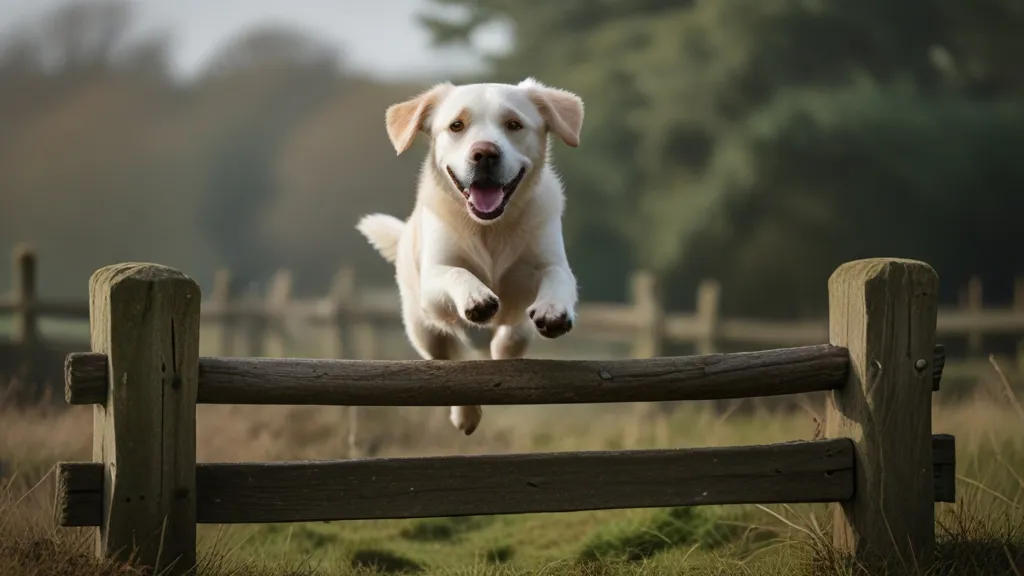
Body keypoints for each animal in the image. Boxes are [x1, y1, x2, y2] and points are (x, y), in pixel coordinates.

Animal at [356, 78, 585, 432]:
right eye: (456, 125)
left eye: (514, 124)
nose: (485, 153)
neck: (489, 229)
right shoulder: (434, 280)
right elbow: (457, 272)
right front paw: (477, 298)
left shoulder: (547, 262)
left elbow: (558, 276)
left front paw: (552, 310)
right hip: (424, 330)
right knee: (450, 365)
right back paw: (466, 413)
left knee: (510, 336)